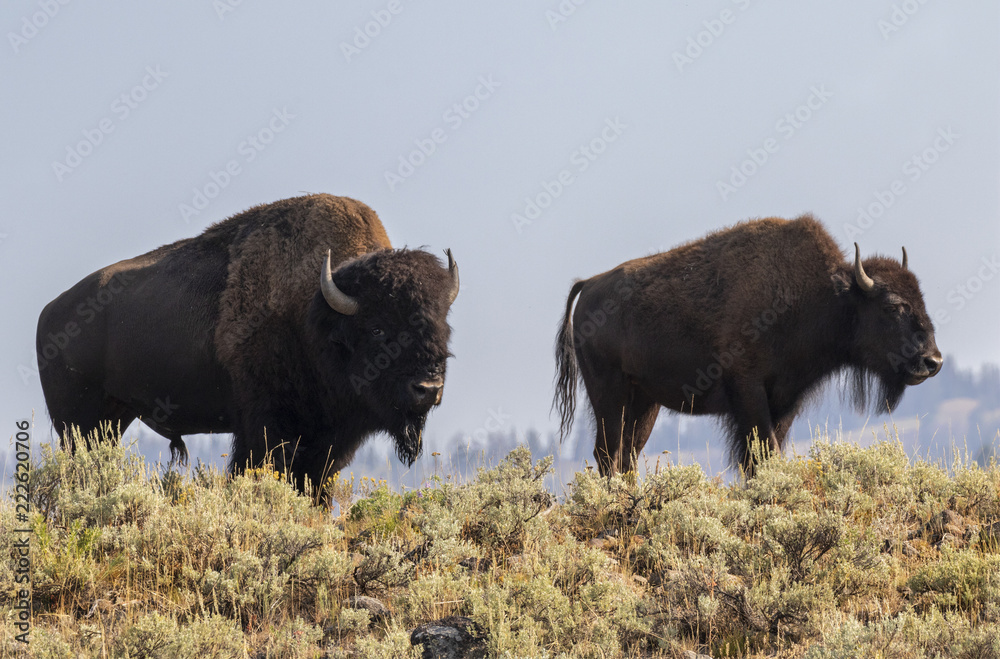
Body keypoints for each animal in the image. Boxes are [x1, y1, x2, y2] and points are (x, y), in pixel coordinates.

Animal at [37, 193, 458, 502]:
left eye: (443, 325)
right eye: (377, 328)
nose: (427, 390)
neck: (315, 312)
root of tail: (50, 313)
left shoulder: (330, 440)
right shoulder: (265, 427)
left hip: (112, 418)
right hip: (77, 422)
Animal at [556, 217, 944, 480]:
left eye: (920, 298)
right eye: (892, 306)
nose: (933, 361)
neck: (827, 297)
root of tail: (588, 285)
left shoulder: (785, 401)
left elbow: (769, 453)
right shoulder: (749, 393)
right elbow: (761, 454)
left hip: (644, 403)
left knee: (627, 454)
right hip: (610, 395)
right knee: (608, 452)